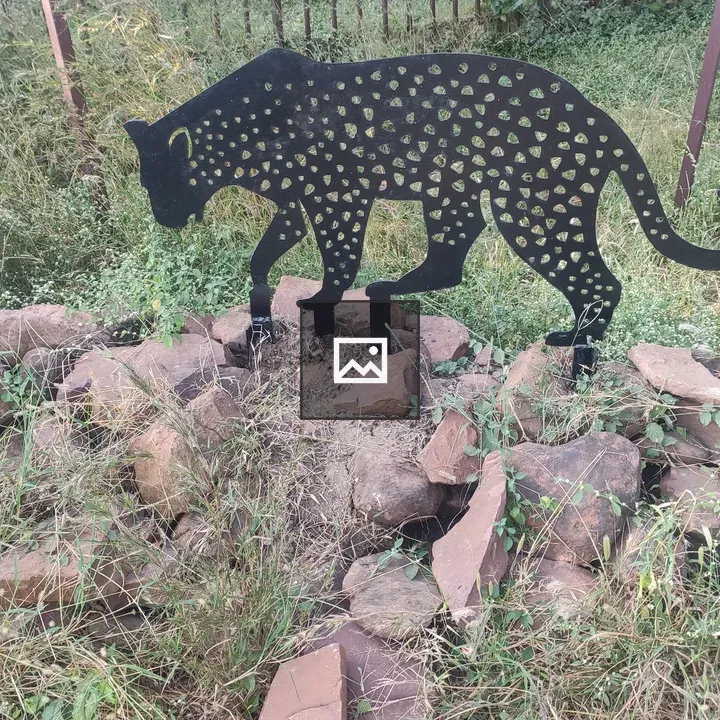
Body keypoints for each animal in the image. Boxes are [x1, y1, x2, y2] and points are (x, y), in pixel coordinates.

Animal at [125, 48, 720, 348]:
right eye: (147, 185)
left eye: (163, 182)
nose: (163, 216)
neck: (237, 135)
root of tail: (599, 118)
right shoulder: (294, 205)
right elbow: (261, 257)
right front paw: (259, 315)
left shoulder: (339, 197)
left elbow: (338, 259)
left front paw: (320, 302)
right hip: (451, 189)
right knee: (453, 255)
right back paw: (390, 289)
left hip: (531, 207)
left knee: (600, 281)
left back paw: (577, 347)